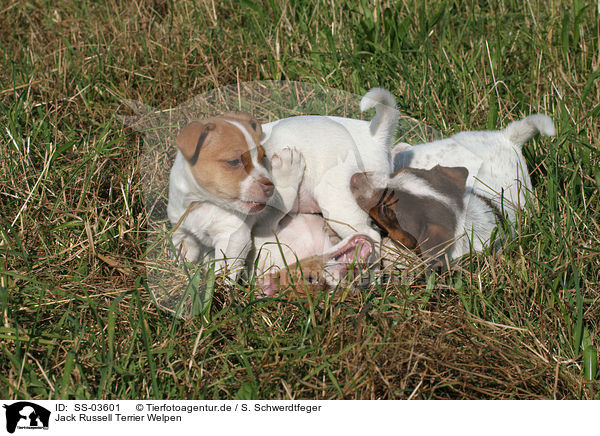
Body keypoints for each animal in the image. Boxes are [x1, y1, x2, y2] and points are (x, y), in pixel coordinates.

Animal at [166, 111, 274, 276]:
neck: (202, 202)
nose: (270, 187)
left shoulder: (232, 238)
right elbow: (184, 258)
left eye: (263, 157)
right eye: (234, 161)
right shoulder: (182, 232)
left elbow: (223, 272)